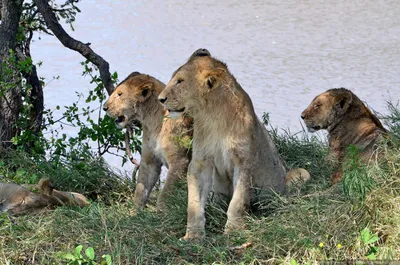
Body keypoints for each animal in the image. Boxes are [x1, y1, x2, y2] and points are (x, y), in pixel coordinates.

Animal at [102, 71, 191, 207]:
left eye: (120, 94)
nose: (104, 108)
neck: (153, 121)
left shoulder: (179, 161)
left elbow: (165, 195)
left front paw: (161, 212)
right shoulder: (149, 161)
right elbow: (140, 191)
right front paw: (135, 212)